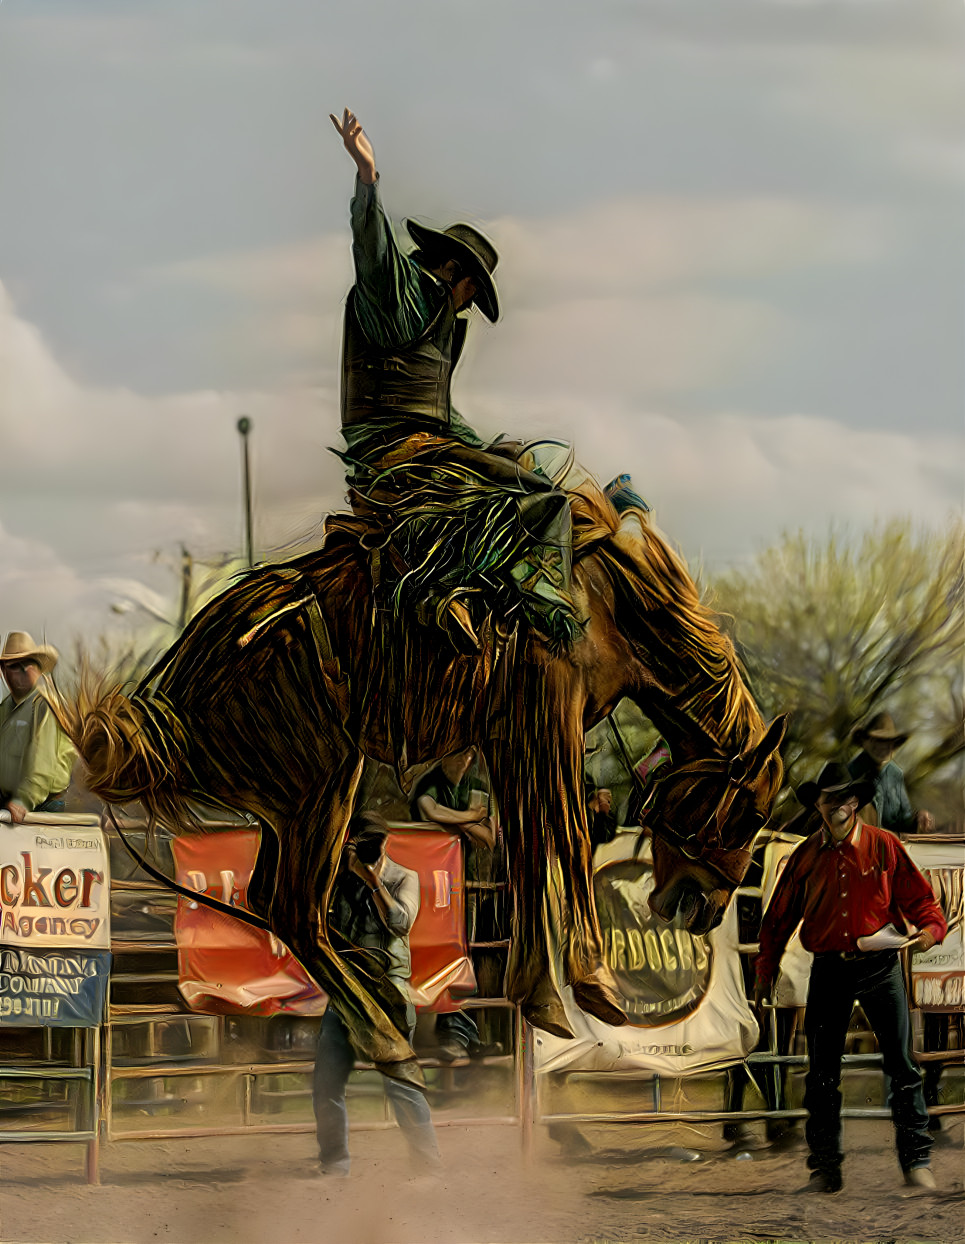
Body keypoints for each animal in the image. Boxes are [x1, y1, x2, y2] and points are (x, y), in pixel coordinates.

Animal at [50, 470, 785, 1084]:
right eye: (749, 814)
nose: (706, 909)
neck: (607, 605)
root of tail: (174, 700)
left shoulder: (510, 734)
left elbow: (527, 847)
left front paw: (540, 994)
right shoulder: (550, 714)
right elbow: (565, 836)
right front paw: (591, 983)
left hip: (287, 803)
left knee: (275, 899)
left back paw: (377, 987)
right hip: (324, 779)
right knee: (294, 905)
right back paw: (384, 1035)